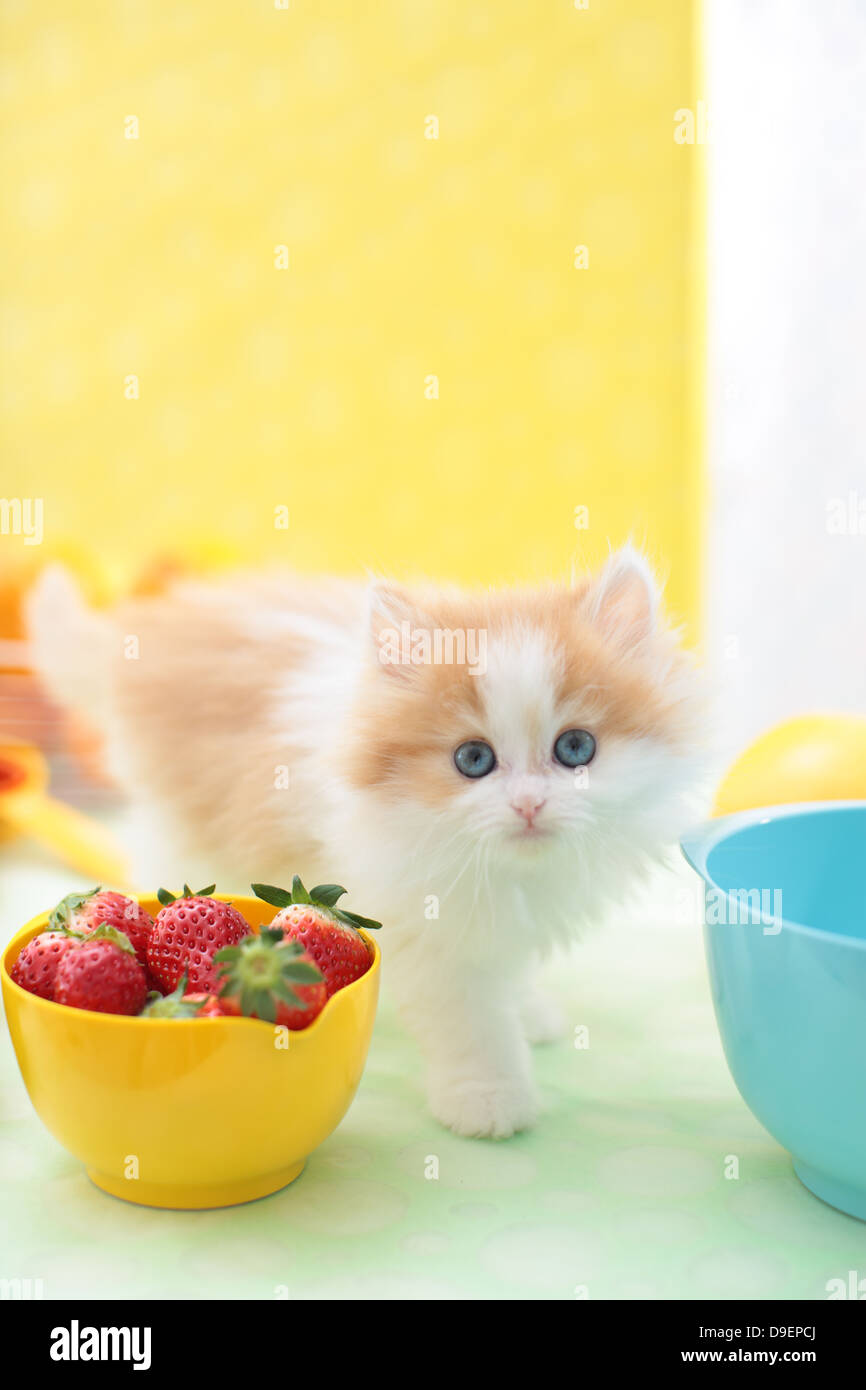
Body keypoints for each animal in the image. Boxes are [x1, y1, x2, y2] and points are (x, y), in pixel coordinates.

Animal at [28, 547, 706, 1134]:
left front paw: (528, 1007)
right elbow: (470, 1018)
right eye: (473, 759)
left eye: (576, 748)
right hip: (184, 833)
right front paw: (488, 1098)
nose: (529, 804)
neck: (506, 870)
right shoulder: (422, 929)